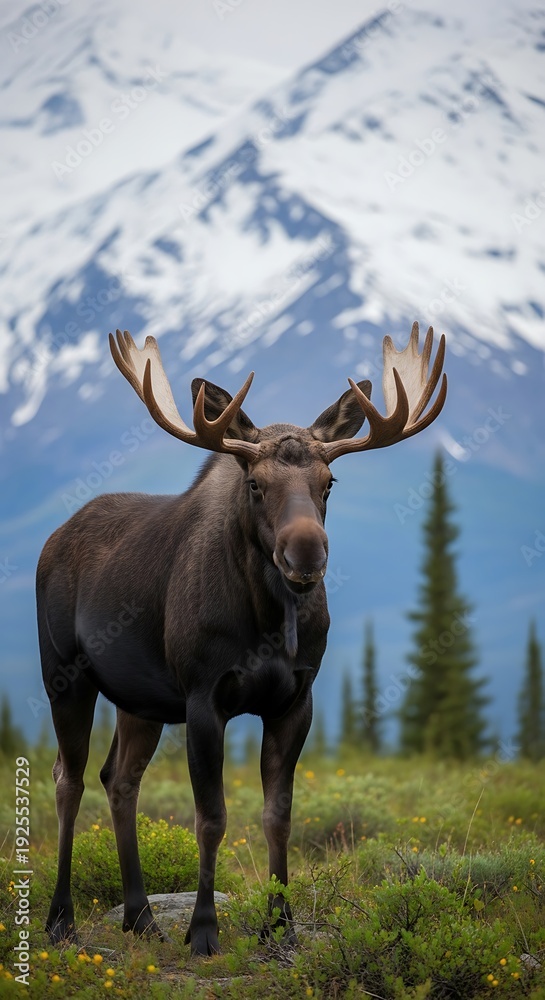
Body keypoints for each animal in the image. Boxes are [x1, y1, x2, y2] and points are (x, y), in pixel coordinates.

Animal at [37, 321, 446, 956]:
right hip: (64, 675)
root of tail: (53, 537)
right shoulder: (205, 697)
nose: (307, 553)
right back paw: (61, 919)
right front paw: (204, 930)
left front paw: (281, 927)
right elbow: (212, 817)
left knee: (119, 779)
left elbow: (278, 816)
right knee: (68, 779)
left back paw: (142, 916)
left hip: (141, 700)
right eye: (254, 482)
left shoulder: (295, 700)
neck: (268, 624)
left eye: (329, 482)